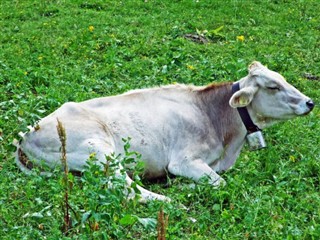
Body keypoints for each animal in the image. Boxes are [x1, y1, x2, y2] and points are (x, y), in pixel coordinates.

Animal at [15, 61, 316, 202]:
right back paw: (171, 199)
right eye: (273, 86)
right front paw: (185, 185)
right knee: (127, 190)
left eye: (283, 79)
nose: (310, 102)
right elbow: (219, 183)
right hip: (99, 150)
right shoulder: (184, 160)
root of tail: (26, 135)